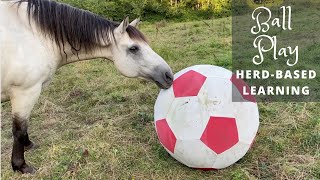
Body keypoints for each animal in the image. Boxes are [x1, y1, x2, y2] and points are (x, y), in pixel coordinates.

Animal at [0, 0, 174, 174]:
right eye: (134, 48)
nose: (168, 75)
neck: (36, 37)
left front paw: (27, 145)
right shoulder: (25, 93)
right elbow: (19, 130)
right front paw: (20, 165)